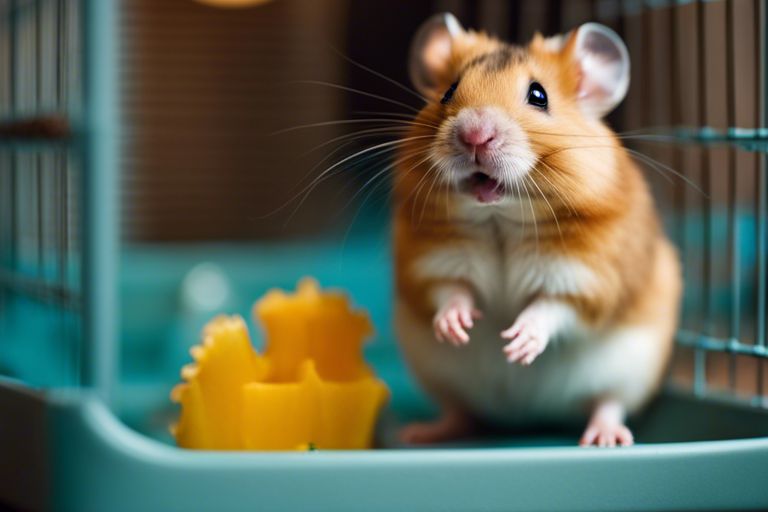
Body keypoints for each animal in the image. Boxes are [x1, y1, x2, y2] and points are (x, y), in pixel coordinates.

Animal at [392, 13, 682, 447]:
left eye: (538, 95)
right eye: (448, 91)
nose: (475, 135)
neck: (500, 219)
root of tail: (523, 418)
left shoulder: (585, 279)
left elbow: (551, 307)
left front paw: (517, 347)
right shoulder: (430, 263)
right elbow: (451, 289)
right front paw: (456, 327)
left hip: (632, 370)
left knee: (609, 402)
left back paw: (604, 438)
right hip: (437, 375)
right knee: (461, 413)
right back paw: (420, 433)